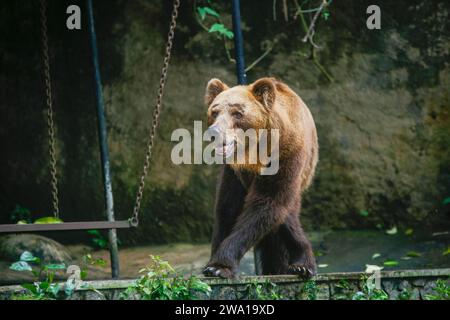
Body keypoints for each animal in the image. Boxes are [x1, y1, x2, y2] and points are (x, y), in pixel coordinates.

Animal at [202, 77, 318, 278]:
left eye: (237, 113)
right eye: (214, 111)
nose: (214, 132)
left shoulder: (286, 156)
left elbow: (267, 202)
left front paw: (219, 266)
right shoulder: (234, 173)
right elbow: (227, 208)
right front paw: (214, 264)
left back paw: (300, 263)